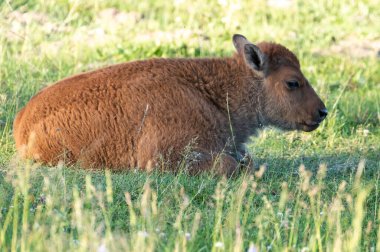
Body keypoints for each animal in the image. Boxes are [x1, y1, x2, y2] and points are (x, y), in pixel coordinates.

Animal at [12, 34, 326, 175]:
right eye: (292, 82)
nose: (322, 111)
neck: (216, 93)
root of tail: (22, 122)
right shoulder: (164, 156)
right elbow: (232, 165)